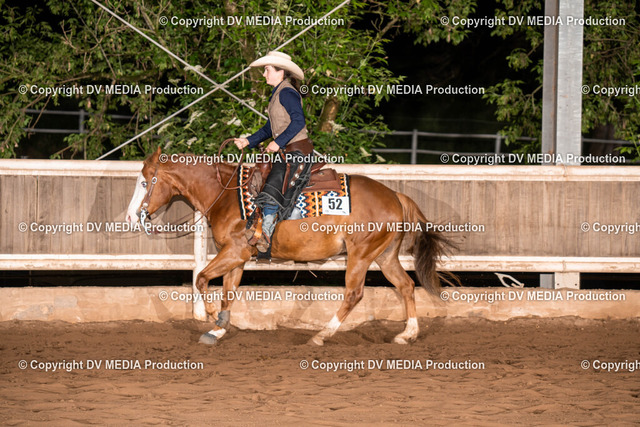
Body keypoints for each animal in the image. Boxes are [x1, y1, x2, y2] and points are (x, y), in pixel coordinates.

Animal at [126, 147, 455, 346]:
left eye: (144, 182)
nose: (130, 217)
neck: (225, 193)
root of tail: (396, 196)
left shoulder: (233, 252)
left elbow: (202, 278)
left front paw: (208, 314)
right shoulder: (238, 257)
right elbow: (228, 291)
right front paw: (218, 327)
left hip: (360, 255)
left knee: (354, 294)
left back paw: (321, 335)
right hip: (384, 256)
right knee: (406, 286)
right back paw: (407, 334)